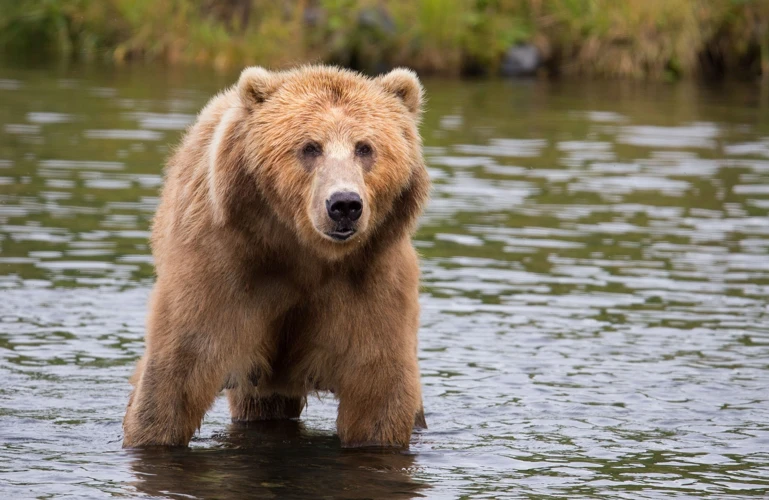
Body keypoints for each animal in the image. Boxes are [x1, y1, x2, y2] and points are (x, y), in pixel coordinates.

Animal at [123, 65, 428, 450]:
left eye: (365, 147)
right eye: (310, 147)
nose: (344, 204)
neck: (303, 253)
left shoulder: (370, 279)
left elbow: (378, 387)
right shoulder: (222, 267)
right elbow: (178, 371)